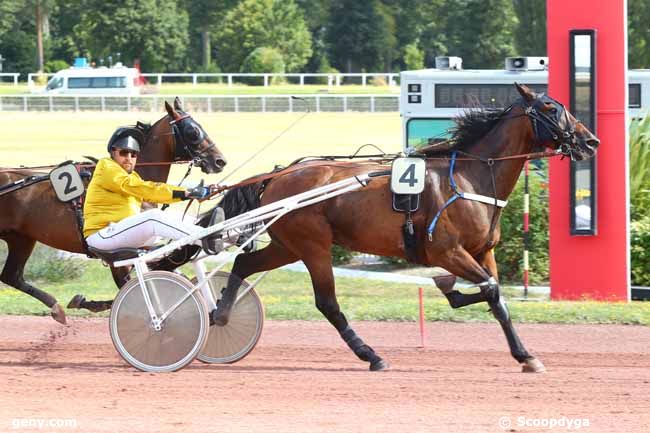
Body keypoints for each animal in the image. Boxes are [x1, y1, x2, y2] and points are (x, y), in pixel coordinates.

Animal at [0, 97, 225, 320]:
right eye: (193, 131)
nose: (219, 160)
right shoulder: (120, 254)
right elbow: (132, 287)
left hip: (21, 238)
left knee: (11, 276)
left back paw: (56, 307)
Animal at [211, 83, 596, 372]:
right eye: (550, 108)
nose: (590, 141)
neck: (469, 178)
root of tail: (277, 175)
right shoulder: (447, 251)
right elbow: (489, 289)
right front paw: (453, 291)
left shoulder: (483, 252)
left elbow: (497, 297)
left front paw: (524, 355)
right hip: (313, 246)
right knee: (327, 303)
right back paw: (371, 355)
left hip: (288, 245)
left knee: (244, 263)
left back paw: (220, 313)